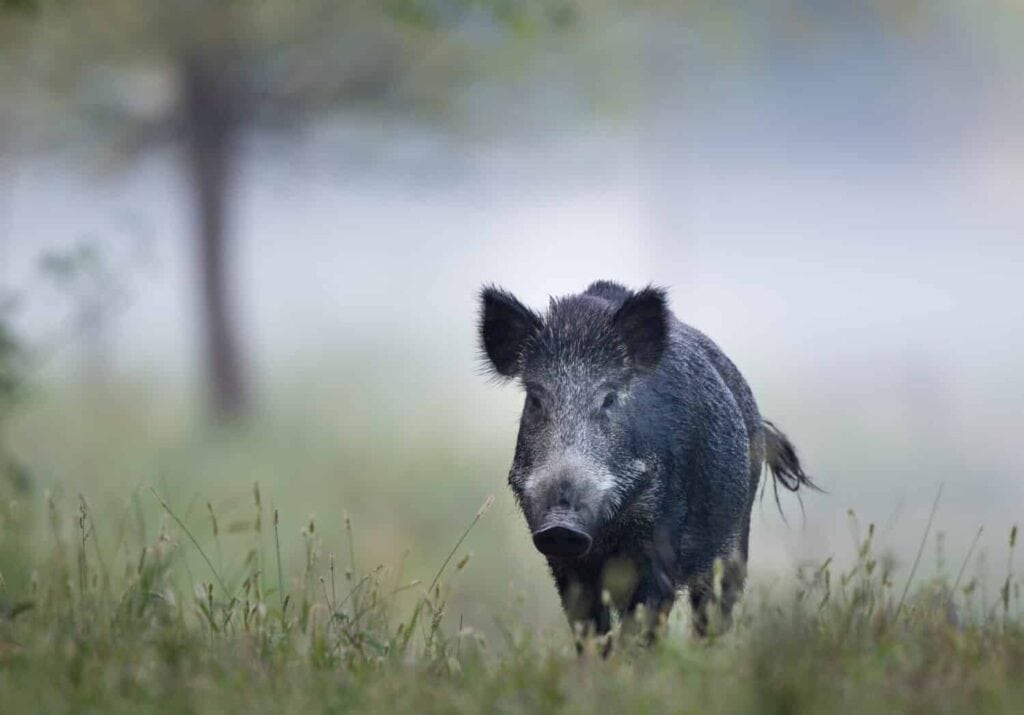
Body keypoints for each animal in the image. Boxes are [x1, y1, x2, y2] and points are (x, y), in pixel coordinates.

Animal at [478, 280, 816, 641]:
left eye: (609, 399)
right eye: (535, 399)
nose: (561, 524)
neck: (607, 532)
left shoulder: (663, 536)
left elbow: (644, 621)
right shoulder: (563, 562)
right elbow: (589, 630)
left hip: (735, 543)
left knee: (713, 614)